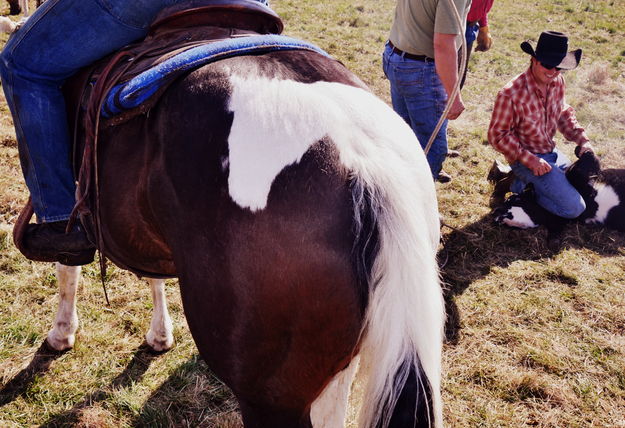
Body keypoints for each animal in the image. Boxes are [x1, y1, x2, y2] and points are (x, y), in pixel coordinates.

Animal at [24, 1, 444, 426]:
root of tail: (362, 159)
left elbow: (67, 264)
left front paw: (62, 332)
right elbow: (153, 276)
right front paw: (160, 334)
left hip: (270, 399)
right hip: (335, 369)